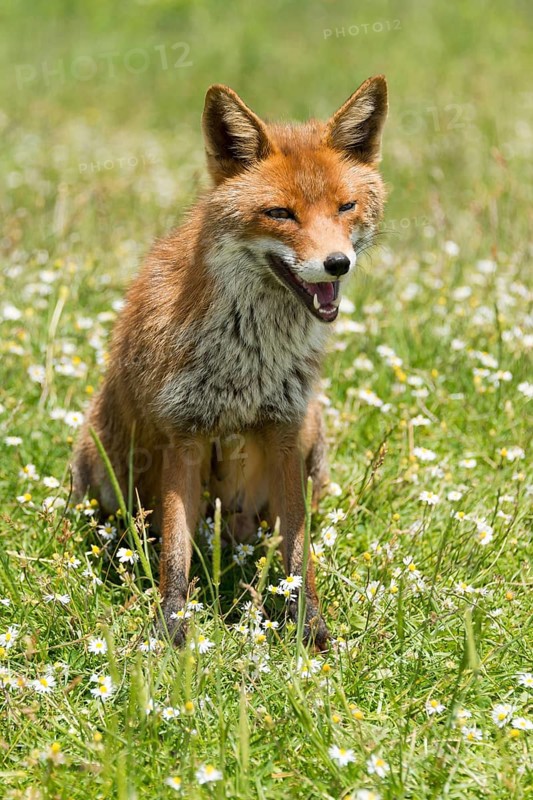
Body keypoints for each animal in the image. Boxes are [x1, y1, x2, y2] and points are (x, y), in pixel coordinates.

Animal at [72, 75, 388, 650]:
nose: (338, 263)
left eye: (346, 206)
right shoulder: (184, 434)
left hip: (313, 441)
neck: (251, 358)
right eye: (281, 214)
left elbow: (298, 555)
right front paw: (172, 631)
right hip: (102, 466)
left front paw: (309, 631)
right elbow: (175, 555)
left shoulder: (286, 431)